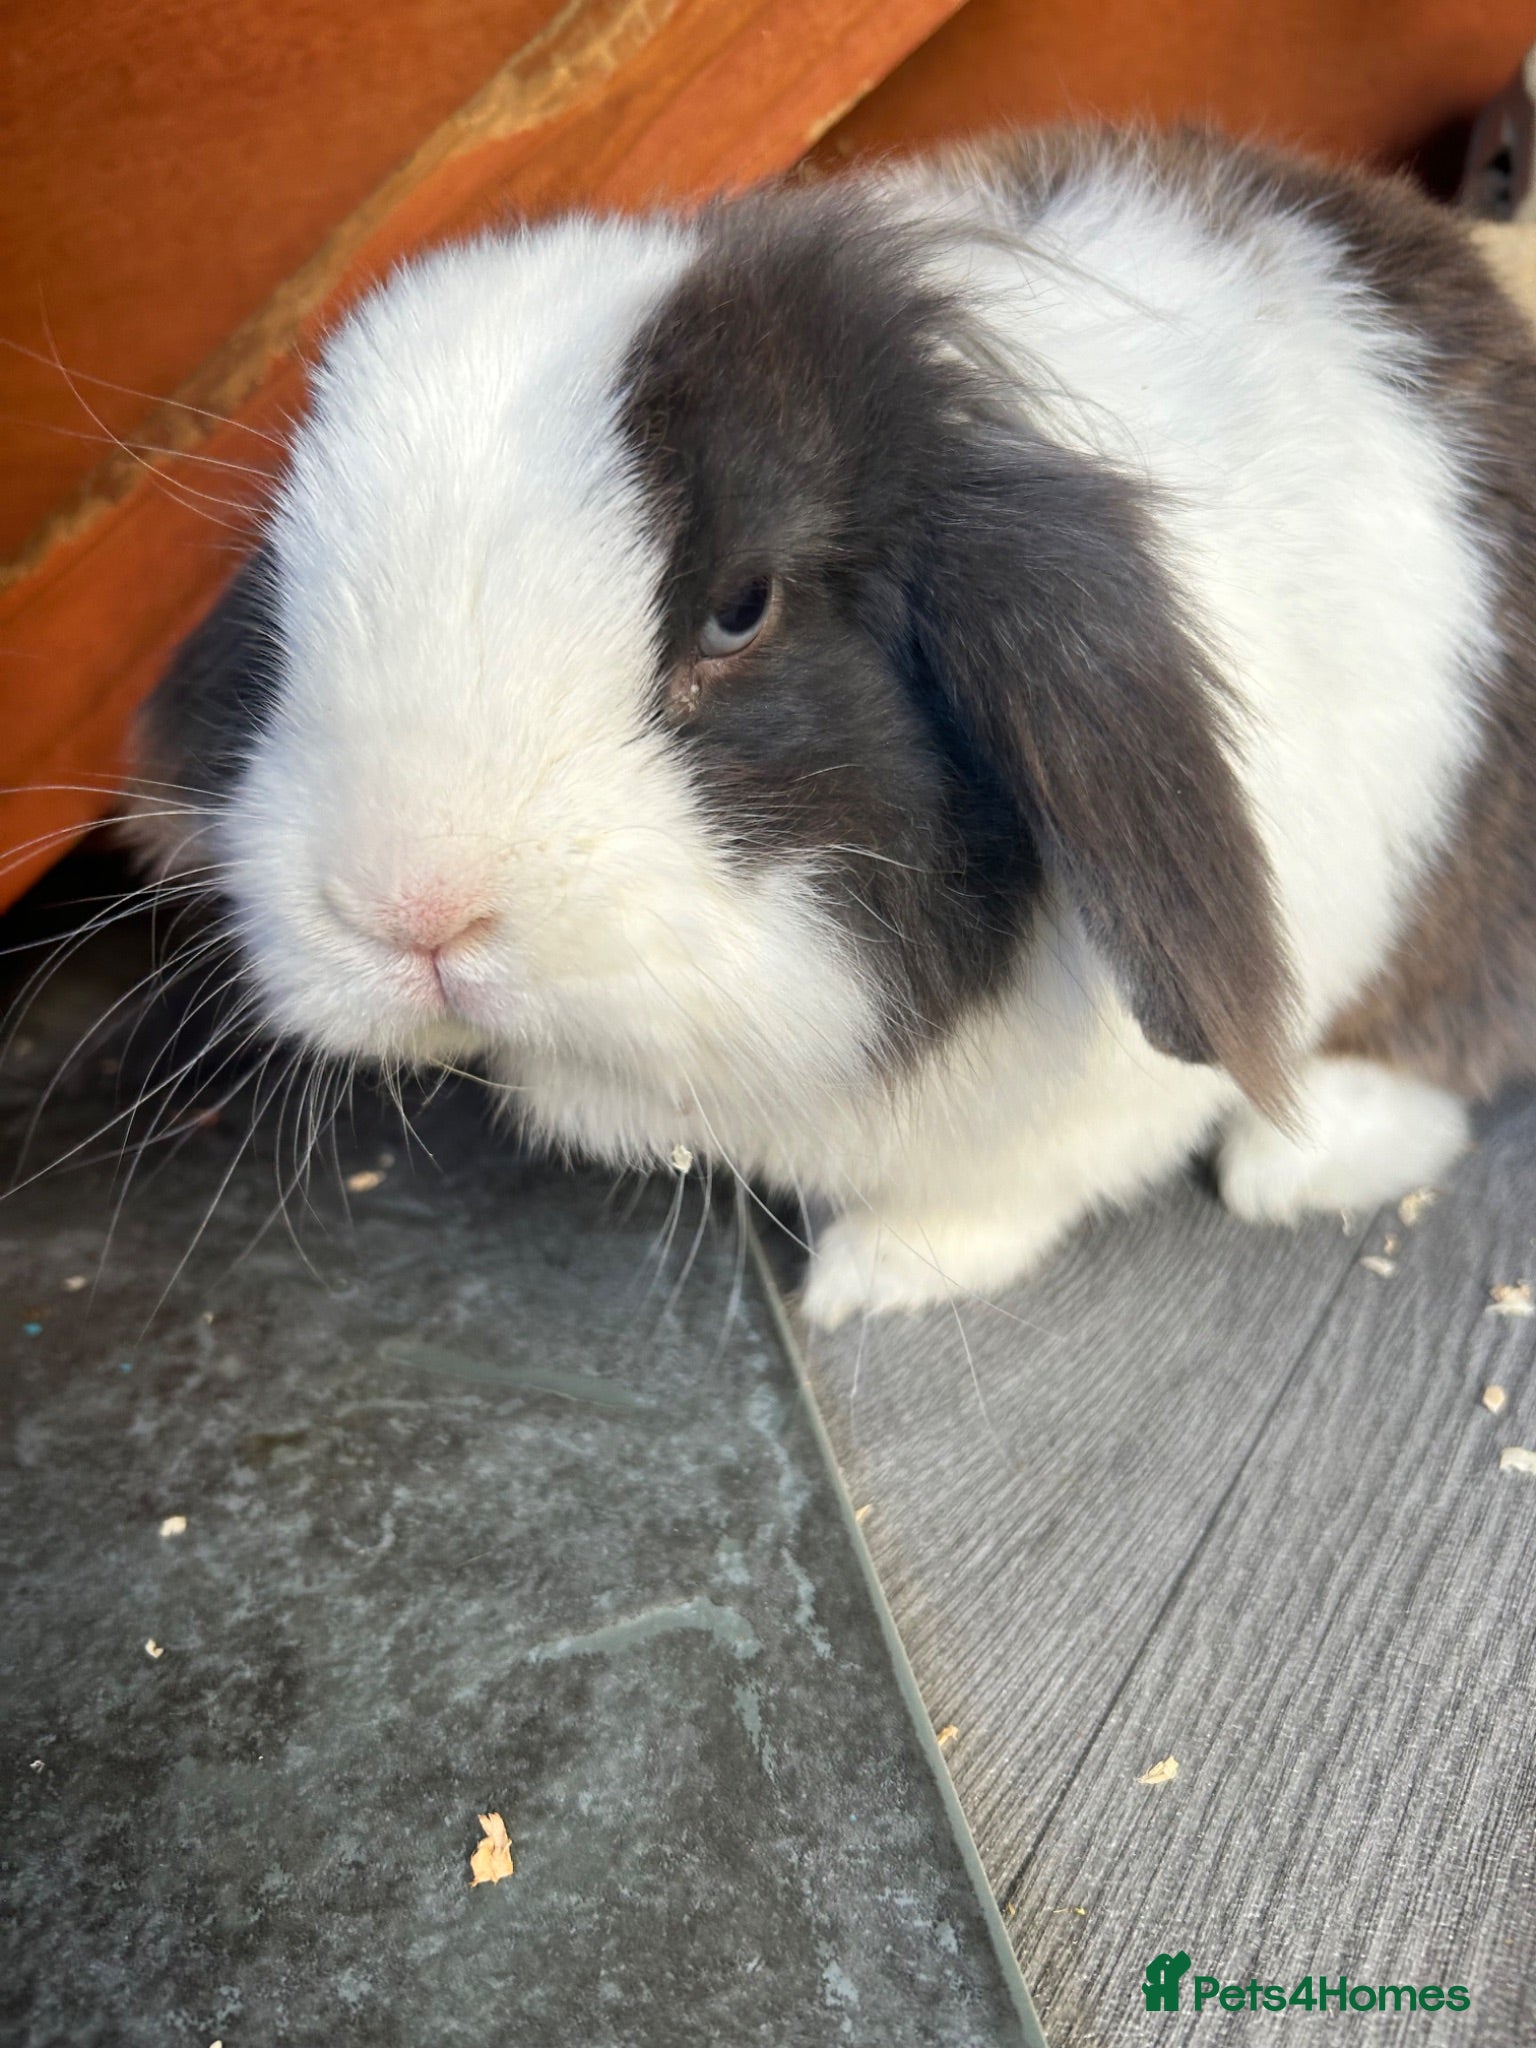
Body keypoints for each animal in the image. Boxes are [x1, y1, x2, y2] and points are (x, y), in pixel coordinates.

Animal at [122, 126, 1536, 1328]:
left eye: (741, 609)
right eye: (286, 592)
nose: (411, 911)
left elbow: (998, 1193)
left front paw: (872, 1279)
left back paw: (1303, 1160)